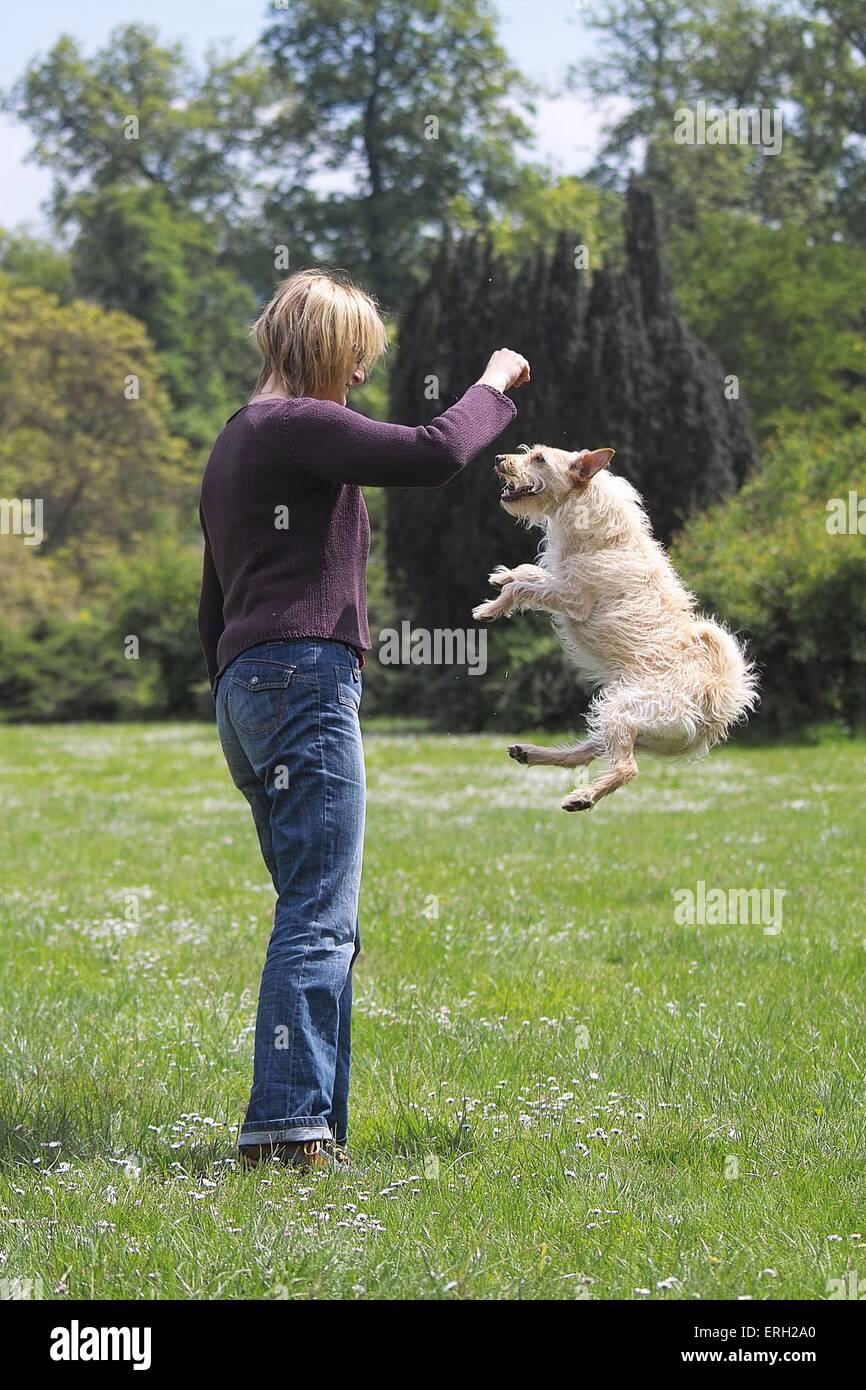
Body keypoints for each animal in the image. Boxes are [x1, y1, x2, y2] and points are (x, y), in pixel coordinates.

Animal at [475, 447, 756, 806]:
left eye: (539, 458)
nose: (499, 458)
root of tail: (713, 700)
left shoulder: (572, 599)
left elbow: (524, 588)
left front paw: (490, 608)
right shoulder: (559, 580)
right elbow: (530, 572)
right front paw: (502, 576)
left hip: (622, 711)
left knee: (627, 769)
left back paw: (583, 797)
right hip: (628, 727)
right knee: (584, 755)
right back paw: (532, 754)